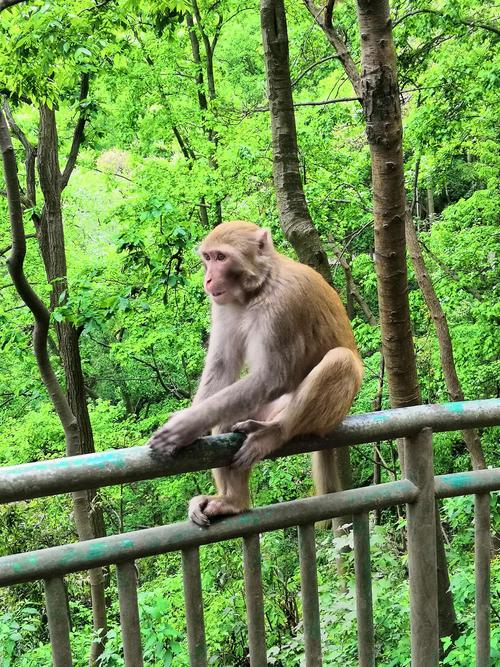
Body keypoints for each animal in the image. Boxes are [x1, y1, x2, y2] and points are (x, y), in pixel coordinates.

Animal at [148, 223, 364, 528]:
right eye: (208, 257)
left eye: (222, 257)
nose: (208, 279)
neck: (257, 289)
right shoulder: (223, 305)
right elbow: (222, 368)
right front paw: (192, 425)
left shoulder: (281, 305)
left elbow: (272, 376)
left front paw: (184, 426)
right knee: (226, 420)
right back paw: (232, 501)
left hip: (328, 415)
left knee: (340, 360)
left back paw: (276, 432)